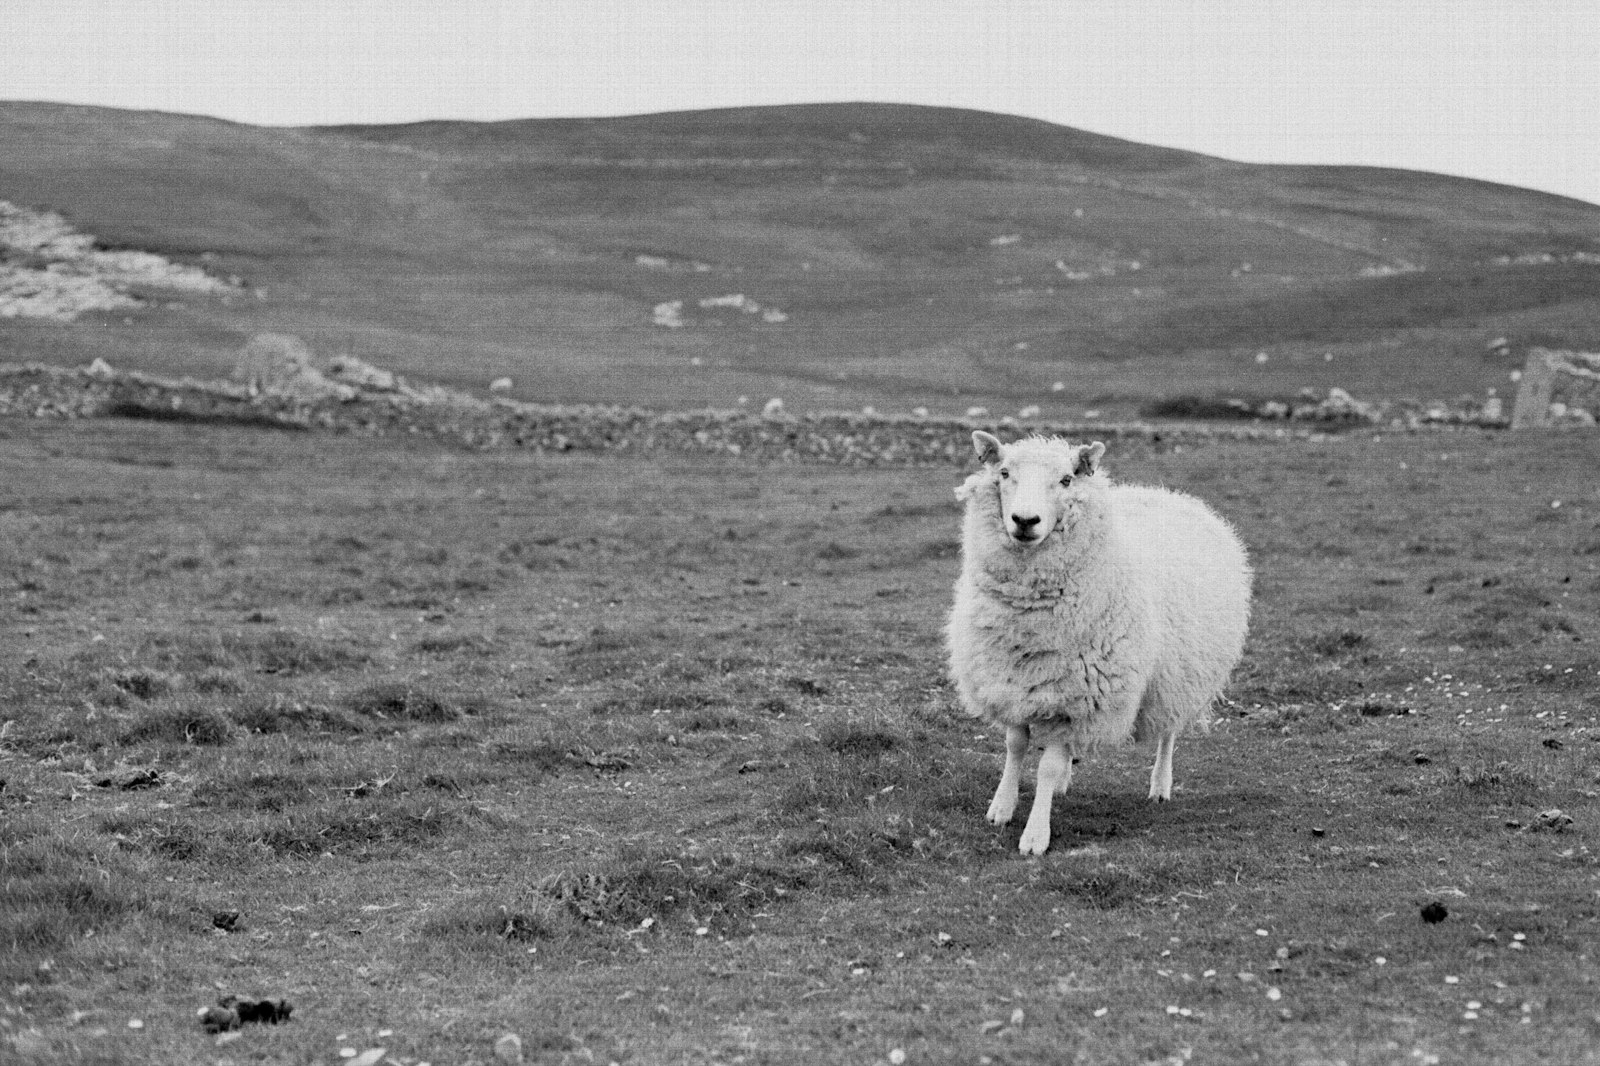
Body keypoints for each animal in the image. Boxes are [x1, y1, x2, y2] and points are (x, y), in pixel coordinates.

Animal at [946, 431, 1252, 856]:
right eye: (1004, 473)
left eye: (1066, 480)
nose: (1025, 521)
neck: (1029, 619)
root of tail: (1167, 495)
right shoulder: (1013, 681)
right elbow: (1015, 746)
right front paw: (1001, 808)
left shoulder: (1079, 698)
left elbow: (1047, 766)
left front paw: (1035, 835)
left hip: (1179, 673)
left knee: (1168, 732)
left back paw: (1160, 785)